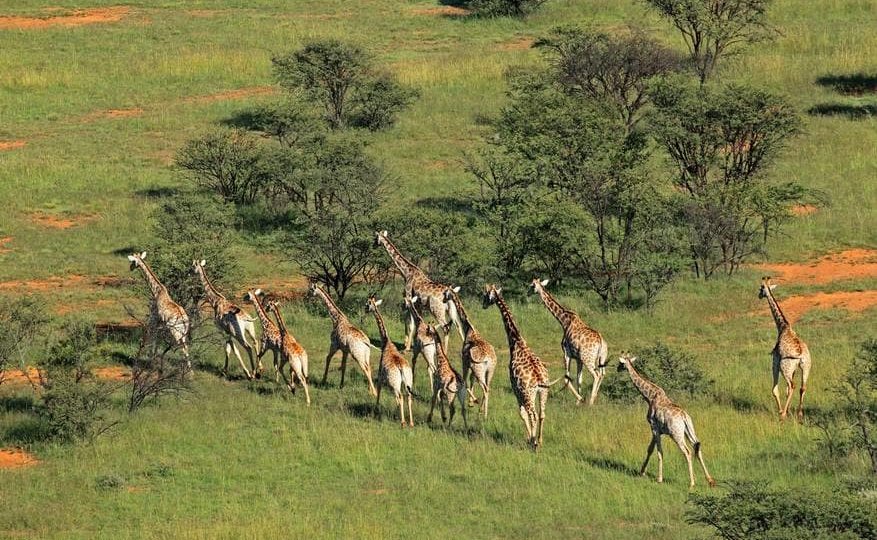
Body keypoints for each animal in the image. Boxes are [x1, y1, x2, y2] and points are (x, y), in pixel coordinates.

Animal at [366, 294, 414, 428]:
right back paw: (411, 422)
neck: (386, 342)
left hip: (394, 384)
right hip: (408, 381)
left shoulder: (380, 375)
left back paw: (402, 422)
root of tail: (401, 368)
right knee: (408, 397)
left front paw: (376, 410)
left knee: (400, 397)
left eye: (367, 303)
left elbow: (378, 392)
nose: (365, 309)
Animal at [442, 286, 496, 418]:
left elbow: (465, 381)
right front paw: (471, 403)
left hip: (479, 369)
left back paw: (484, 415)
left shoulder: (465, 362)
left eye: (446, 293)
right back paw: (481, 410)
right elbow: (471, 380)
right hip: (490, 370)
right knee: (488, 387)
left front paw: (472, 401)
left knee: (485, 388)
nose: (443, 300)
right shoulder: (470, 365)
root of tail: (489, 359)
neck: (468, 329)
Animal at [482, 284, 556, 450]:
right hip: (543, 392)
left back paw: (534, 443)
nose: (483, 305)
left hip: (529, 394)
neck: (516, 342)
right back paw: (540, 440)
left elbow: (521, 413)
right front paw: (531, 438)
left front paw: (529, 438)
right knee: (542, 414)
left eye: (485, 295)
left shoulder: (515, 388)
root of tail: (539, 379)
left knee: (532, 414)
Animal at [612, 352, 716, 488]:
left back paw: (692, 483)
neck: (650, 397)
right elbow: (650, 449)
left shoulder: (654, 427)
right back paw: (710, 480)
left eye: (620, 362)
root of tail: (684, 417)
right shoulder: (657, 430)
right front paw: (642, 472)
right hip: (689, 431)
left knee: (687, 452)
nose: (617, 369)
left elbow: (659, 452)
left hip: (676, 434)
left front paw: (659, 478)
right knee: (697, 448)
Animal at [756, 278, 812, 422]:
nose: (759, 295)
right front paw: (789, 409)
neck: (783, 327)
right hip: (806, 367)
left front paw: (782, 411)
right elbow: (786, 391)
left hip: (785, 367)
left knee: (792, 386)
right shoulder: (794, 369)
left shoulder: (775, 362)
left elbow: (775, 390)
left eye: (761, 288)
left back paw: (783, 415)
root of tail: (800, 355)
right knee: (802, 387)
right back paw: (799, 413)